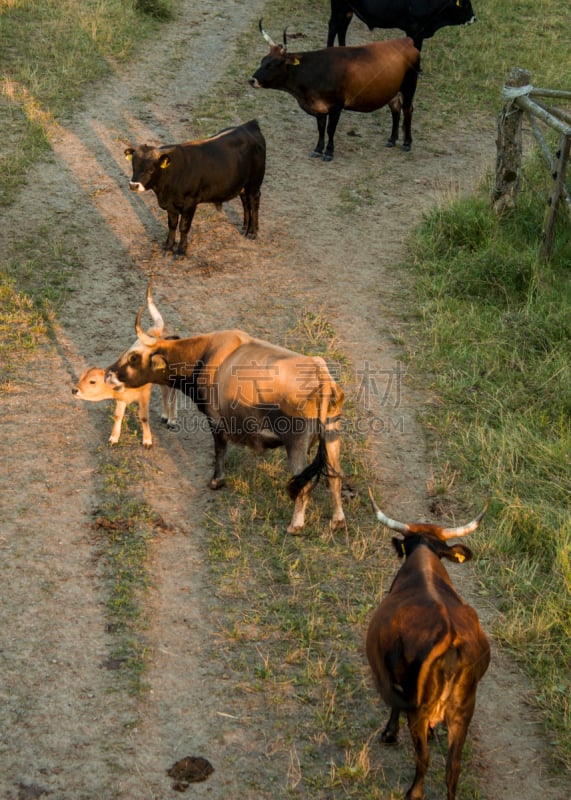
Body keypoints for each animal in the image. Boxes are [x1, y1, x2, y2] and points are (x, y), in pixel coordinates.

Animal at [105, 296, 346, 536]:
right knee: (335, 477)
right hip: (331, 437)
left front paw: (216, 481)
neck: (206, 356)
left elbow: (220, 449)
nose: (108, 374)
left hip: (296, 445)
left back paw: (295, 525)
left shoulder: (216, 420)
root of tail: (320, 374)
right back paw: (337, 521)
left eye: (134, 357)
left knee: (303, 483)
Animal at [124, 119, 266, 255]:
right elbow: (172, 225)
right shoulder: (170, 205)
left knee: (254, 201)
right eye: (133, 165)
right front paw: (168, 246)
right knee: (245, 202)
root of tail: (248, 125)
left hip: (254, 183)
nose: (134, 185)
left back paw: (252, 232)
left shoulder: (190, 202)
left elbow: (183, 226)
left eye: (151, 169)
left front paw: (181, 250)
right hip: (243, 184)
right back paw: (245, 227)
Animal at [328, 0, 476, 48]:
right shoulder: (414, 29)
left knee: (342, 28)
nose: (474, 18)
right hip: (339, 7)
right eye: (465, 4)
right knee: (334, 26)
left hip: (347, 11)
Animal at [368, 488, 490, 800]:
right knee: (453, 767)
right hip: (463, 711)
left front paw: (389, 734)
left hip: (420, 708)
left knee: (423, 758)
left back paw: (413, 791)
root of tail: (452, 639)